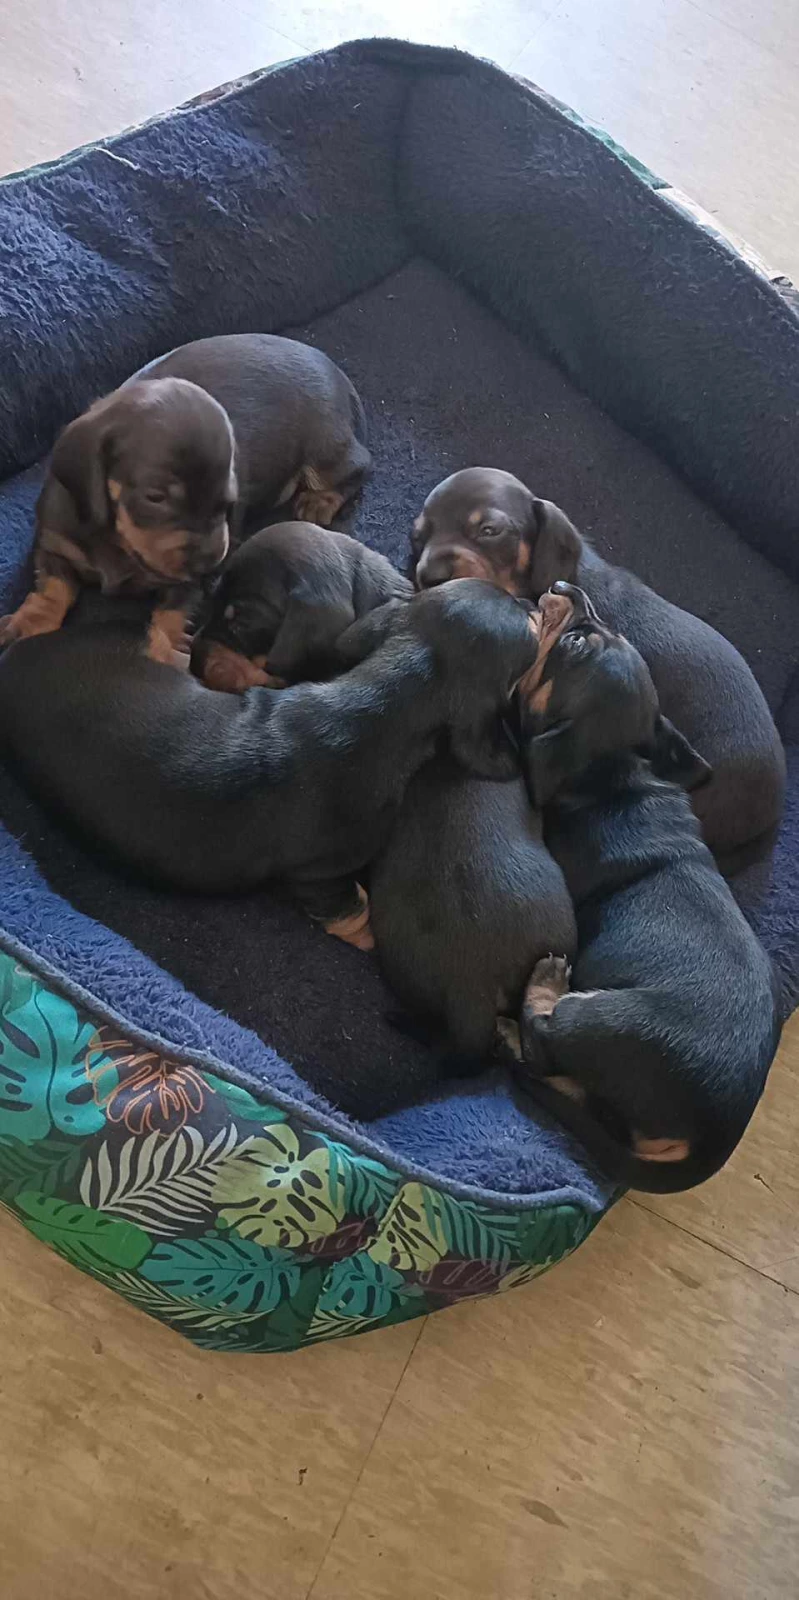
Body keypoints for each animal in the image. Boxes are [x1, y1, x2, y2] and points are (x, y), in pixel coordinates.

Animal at [0, 335, 370, 663]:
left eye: (228, 500)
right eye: (155, 497)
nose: (211, 561)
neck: (119, 541)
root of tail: (336, 373)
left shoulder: (192, 583)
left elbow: (176, 611)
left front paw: (166, 651)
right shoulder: (55, 544)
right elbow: (52, 587)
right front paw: (29, 622)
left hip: (325, 449)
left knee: (359, 465)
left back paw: (319, 501)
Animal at [0, 580, 537, 950]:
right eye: (527, 626)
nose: (534, 602)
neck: (387, 700)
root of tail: (13, 663)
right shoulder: (320, 875)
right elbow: (349, 910)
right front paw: (367, 938)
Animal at [510, 584, 781, 1194]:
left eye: (575, 645)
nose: (566, 589)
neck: (613, 771)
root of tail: (716, 1139)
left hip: (593, 1019)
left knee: (545, 1046)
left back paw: (540, 991)